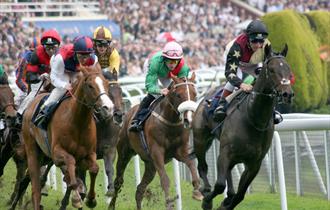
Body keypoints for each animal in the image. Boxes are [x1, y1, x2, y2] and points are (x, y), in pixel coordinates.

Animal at [18, 65, 114, 209]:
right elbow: (70, 164)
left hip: (44, 157)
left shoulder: (89, 154)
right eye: (90, 85)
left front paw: (91, 199)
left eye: (107, 84)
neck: (78, 122)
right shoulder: (57, 153)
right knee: (35, 189)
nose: (108, 108)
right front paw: (76, 198)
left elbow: (94, 169)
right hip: (33, 151)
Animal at [109, 72, 204, 210]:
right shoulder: (157, 152)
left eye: (195, 94)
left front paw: (197, 191)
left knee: (140, 189)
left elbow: (192, 164)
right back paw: (111, 204)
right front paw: (169, 202)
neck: (170, 122)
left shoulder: (180, 151)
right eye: (178, 95)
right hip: (124, 153)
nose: (189, 119)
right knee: (118, 181)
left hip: (150, 165)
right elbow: (165, 179)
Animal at [197, 44, 296, 208]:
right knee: (202, 166)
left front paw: (226, 203)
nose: (287, 94)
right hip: (201, 138)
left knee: (229, 176)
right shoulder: (225, 153)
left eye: (289, 69)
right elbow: (219, 185)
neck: (253, 118)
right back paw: (205, 190)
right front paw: (207, 201)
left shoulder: (254, 163)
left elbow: (240, 195)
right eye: (272, 70)